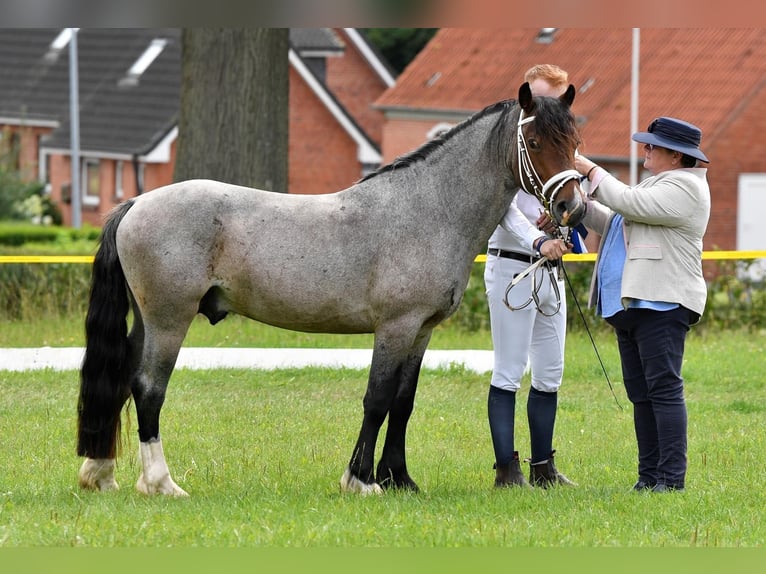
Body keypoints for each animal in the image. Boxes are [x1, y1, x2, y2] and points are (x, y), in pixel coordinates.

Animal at [76, 82, 584, 500]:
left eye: (575, 143)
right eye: (535, 142)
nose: (571, 207)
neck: (427, 209)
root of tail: (136, 203)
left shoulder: (421, 332)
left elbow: (403, 403)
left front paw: (399, 479)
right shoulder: (395, 328)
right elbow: (377, 399)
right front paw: (361, 480)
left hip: (148, 322)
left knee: (121, 378)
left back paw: (101, 474)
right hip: (169, 321)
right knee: (149, 387)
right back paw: (160, 483)